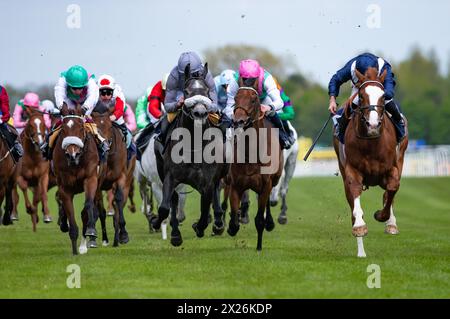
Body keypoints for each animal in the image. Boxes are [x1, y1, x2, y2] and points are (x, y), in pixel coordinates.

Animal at [53, 106, 100, 256]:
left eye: (80, 127)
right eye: (63, 129)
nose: (72, 154)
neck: (76, 163)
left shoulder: (90, 178)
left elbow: (87, 206)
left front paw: (91, 231)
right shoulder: (65, 187)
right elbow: (70, 215)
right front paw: (74, 251)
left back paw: (84, 245)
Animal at [152, 63, 229, 248]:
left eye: (207, 91)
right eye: (186, 92)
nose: (200, 113)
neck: (194, 143)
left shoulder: (207, 181)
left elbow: (205, 208)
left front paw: (199, 227)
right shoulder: (170, 177)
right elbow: (164, 207)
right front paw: (158, 223)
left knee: (214, 196)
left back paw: (217, 223)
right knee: (172, 200)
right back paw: (175, 234)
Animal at [227, 79, 284, 251]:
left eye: (253, 100)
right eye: (236, 98)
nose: (238, 121)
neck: (252, 153)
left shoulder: (265, 185)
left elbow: (259, 219)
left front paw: (259, 247)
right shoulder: (235, 185)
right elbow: (234, 221)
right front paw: (231, 226)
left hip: (275, 179)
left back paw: (270, 222)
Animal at [334, 67, 408, 258]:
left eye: (383, 96)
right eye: (361, 96)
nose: (373, 124)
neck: (371, 142)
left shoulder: (391, 169)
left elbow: (392, 188)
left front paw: (385, 218)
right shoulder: (352, 171)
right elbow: (355, 198)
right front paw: (359, 227)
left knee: (390, 192)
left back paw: (391, 222)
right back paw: (361, 251)